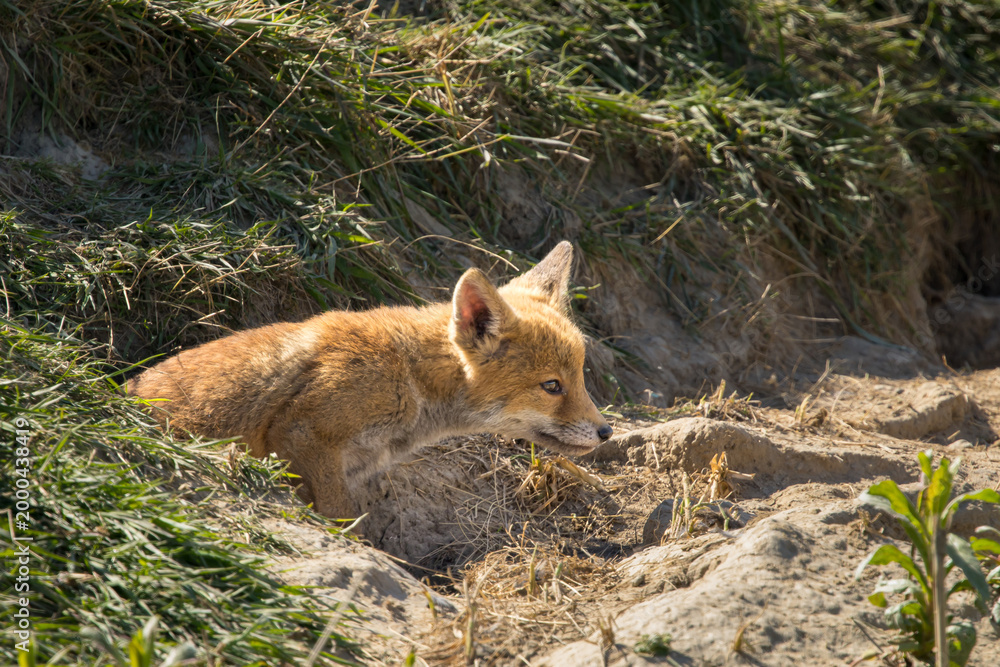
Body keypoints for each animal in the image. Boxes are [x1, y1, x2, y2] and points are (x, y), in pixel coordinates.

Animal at [128, 241, 612, 518]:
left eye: (580, 377)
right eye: (552, 386)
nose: (607, 431)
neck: (408, 376)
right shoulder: (304, 434)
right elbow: (342, 519)